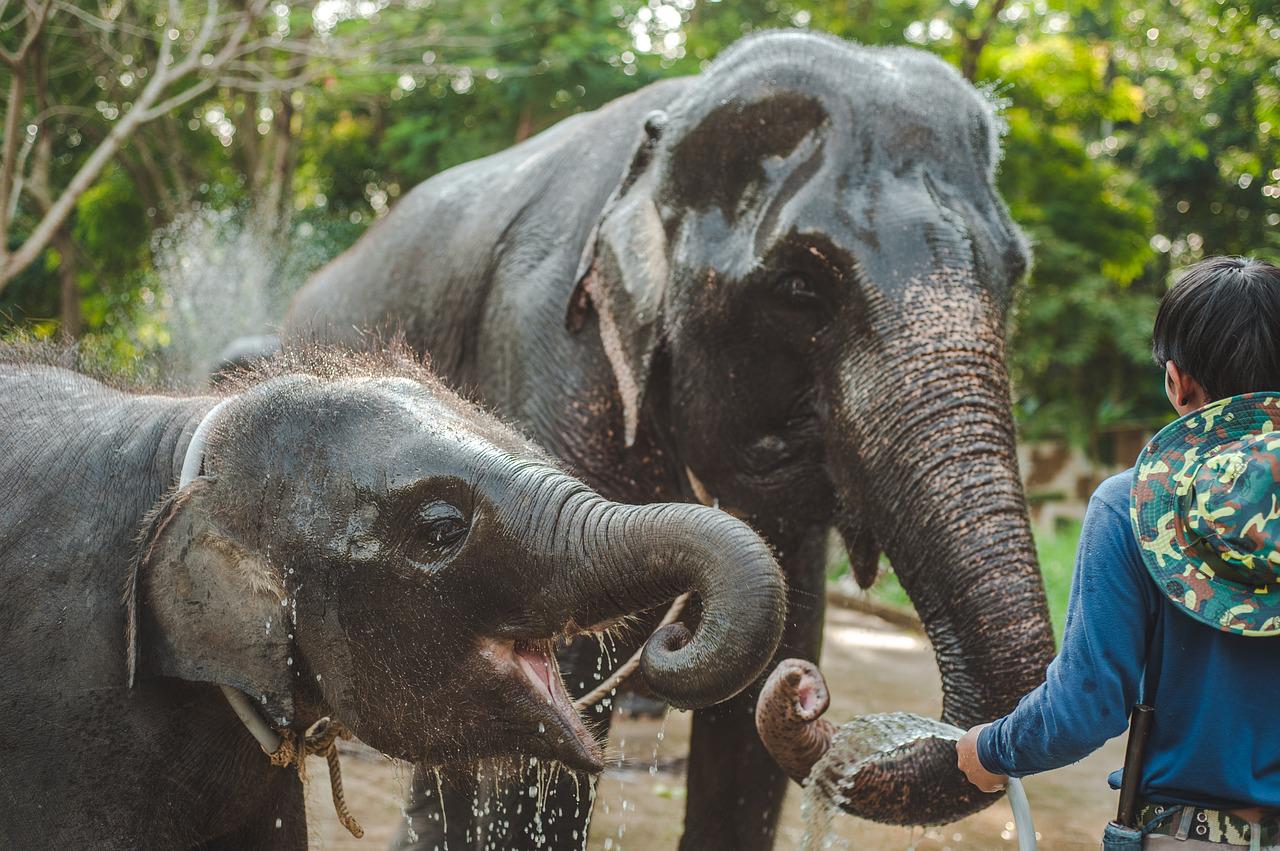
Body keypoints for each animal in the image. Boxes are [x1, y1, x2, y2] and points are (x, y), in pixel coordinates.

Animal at [283, 30, 1056, 849]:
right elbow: (554, 681)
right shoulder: (549, 341)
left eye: (1014, 273)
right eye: (800, 288)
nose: (807, 696)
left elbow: (769, 676)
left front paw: (774, 671)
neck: (671, 120)